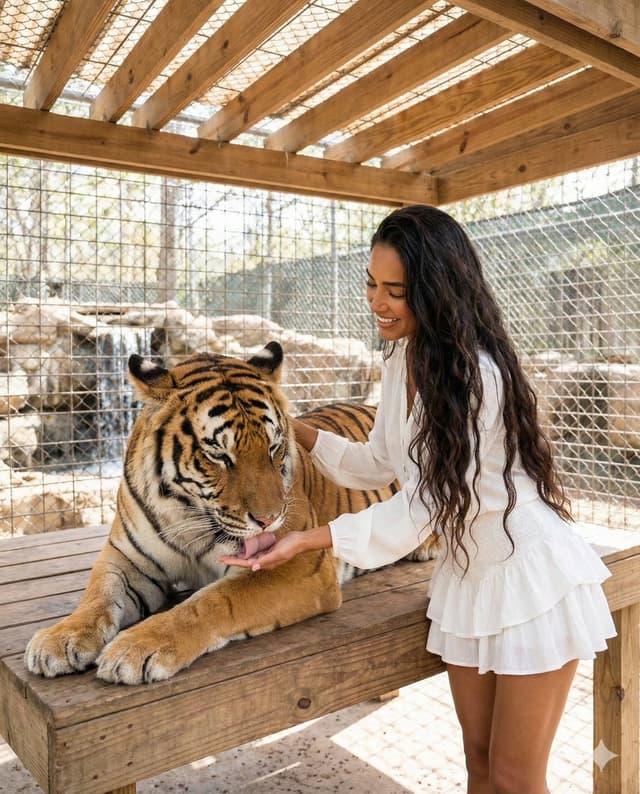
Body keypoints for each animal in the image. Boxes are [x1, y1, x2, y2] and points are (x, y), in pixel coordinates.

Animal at [25, 341, 435, 685]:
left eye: (273, 448)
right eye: (219, 455)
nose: (270, 519)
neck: (188, 515)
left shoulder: (298, 566)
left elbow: (213, 601)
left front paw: (135, 647)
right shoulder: (126, 558)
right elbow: (98, 593)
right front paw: (59, 639)